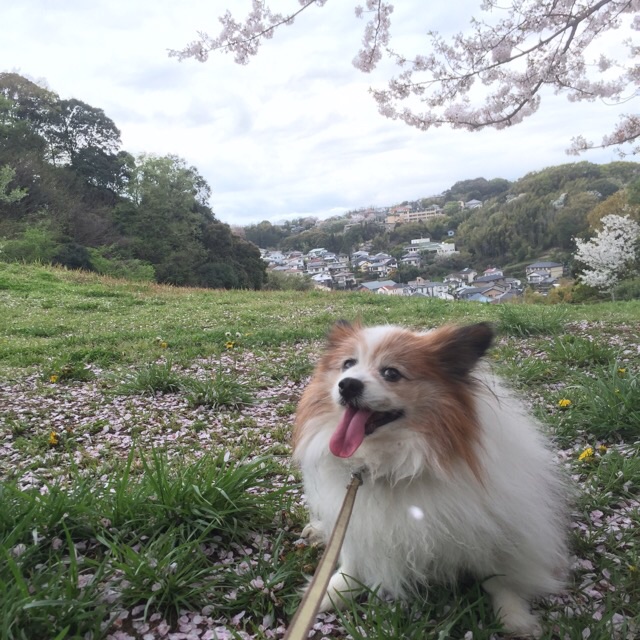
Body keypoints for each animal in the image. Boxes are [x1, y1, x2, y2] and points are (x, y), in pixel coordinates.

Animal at [292, 322, 568, 636]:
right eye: (347, 364)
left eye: (391, 373)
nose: (347, 384)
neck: (391, 465)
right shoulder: (356, 518)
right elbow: (351, 560)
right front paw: (331, 591)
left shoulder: (495, 528)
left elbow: (499, 577)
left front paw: (513, 615)